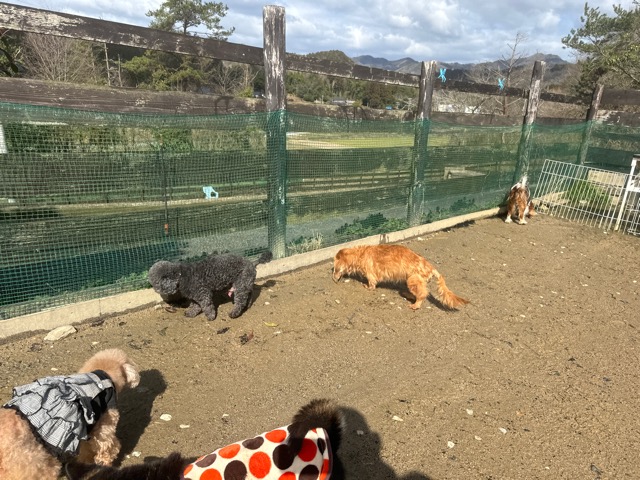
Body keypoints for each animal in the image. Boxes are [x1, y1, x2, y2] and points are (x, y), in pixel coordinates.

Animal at [332, 244, 469, 311]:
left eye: (334, 267)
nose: (333, 279)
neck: (359, 254)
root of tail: (431, 268)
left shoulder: (371, 274)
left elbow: (371, 283)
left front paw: (367, 286)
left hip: (412, 280)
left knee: (422, 294)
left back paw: (415, 305)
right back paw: (407, 295)